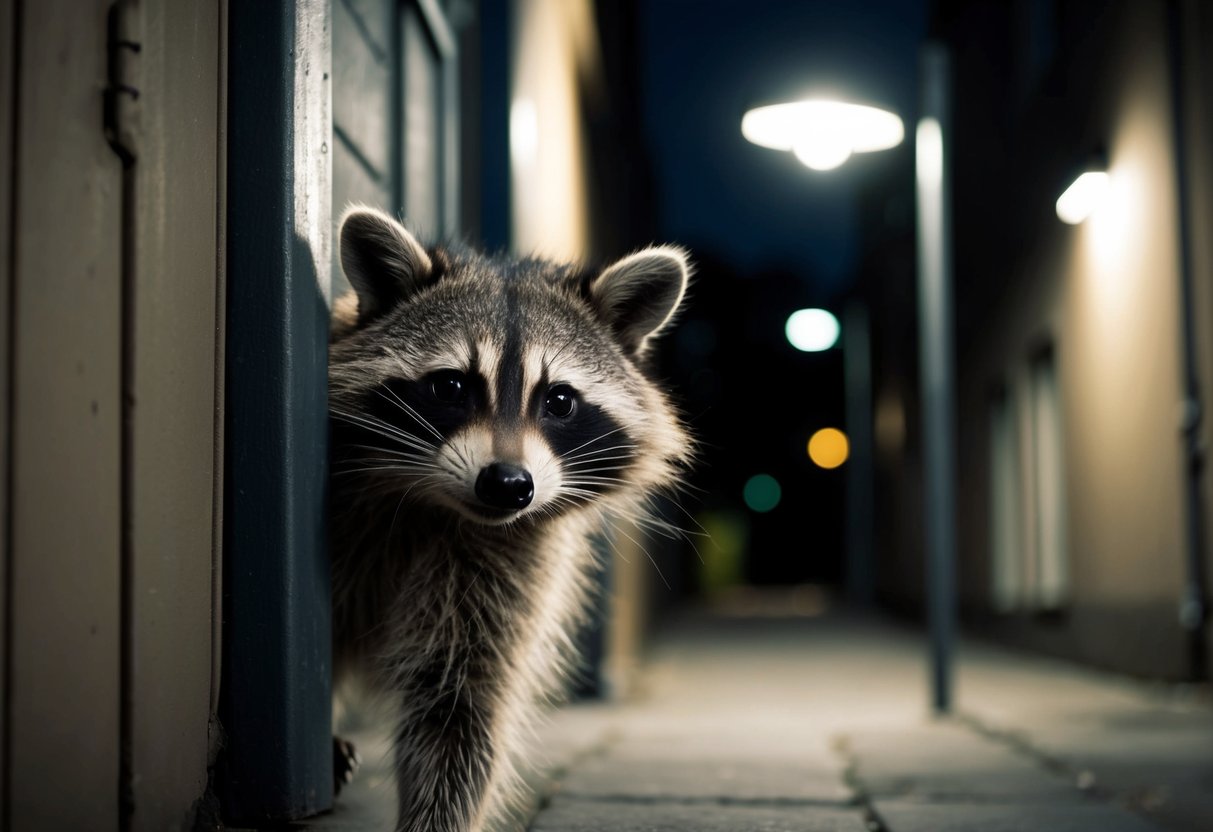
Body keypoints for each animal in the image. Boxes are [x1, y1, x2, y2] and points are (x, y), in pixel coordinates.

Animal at [327, 207, 693, 832]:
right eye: (450, 386)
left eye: (561, 401)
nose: (507, 484)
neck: (431, 504)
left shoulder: (513, 560)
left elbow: (459, 704)